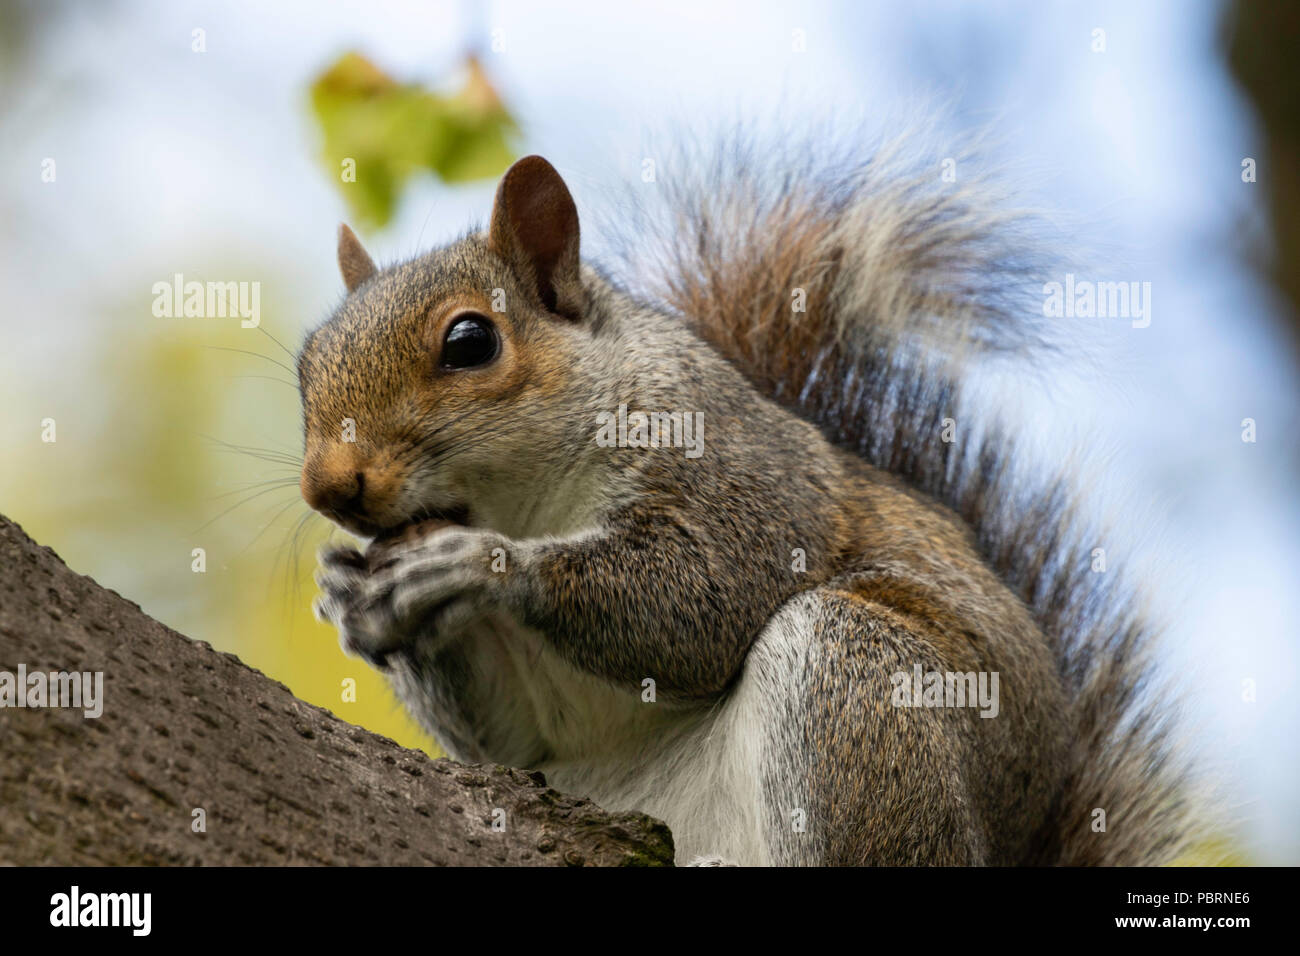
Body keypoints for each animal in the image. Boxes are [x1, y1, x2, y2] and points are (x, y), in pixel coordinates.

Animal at [299, 143, 1190, 868]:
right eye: (307, 366)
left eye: (471, 341)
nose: (327, 486)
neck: (521, 503)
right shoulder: (521, 728)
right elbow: (506, 735)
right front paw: (351, 598)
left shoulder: (740, 474)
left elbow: (705, 595)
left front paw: (486, 567)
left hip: (861, 680)